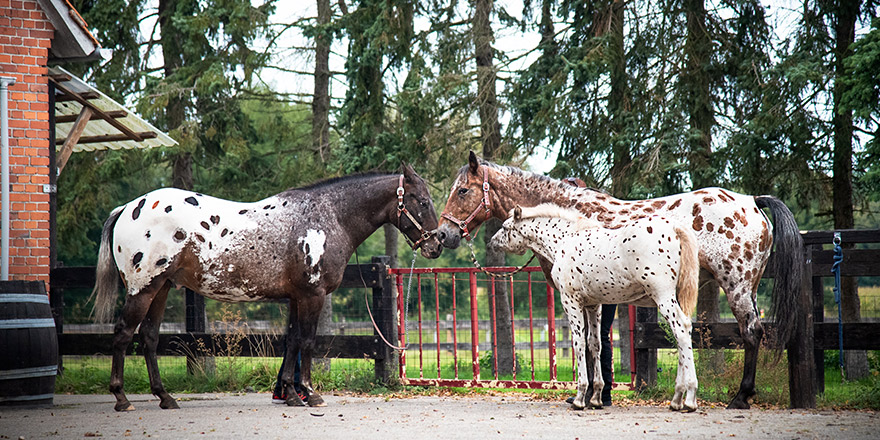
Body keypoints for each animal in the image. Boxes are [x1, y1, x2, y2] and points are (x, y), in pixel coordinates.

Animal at [92, 164, 444, 410]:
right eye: (422, 201)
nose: (438, 243)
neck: (326, 218)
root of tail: (128, 208)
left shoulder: (296, 297)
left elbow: (291, 343)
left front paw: (290, 393)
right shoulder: (312, 296)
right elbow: (308, 342)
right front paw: (310, 394)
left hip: (162, 288)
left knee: (149, 338)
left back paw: (165, 397)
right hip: (143, 289)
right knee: (123, 334)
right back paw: (122, 398)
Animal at [488, 206, 700, 412]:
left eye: (505, 227)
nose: (491, 244)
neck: (565, 239)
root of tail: (675, 229)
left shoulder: (571, 301)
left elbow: (579, 343)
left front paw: (580, 397)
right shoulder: (593, 305)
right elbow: (595, 344)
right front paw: (597, 397)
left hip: (663, 296)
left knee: (681, 330)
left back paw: (689, 398)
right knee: (681, 335)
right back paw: (676, 399)